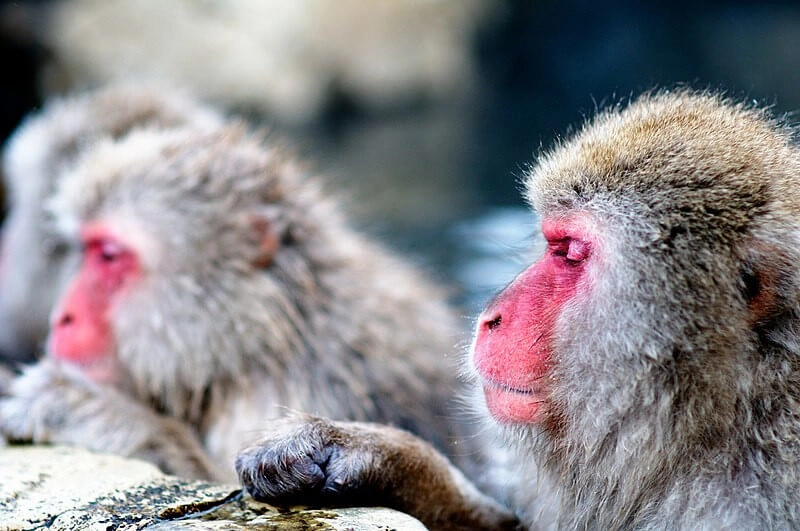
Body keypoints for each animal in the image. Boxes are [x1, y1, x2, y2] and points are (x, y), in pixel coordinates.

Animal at [0, 121, 464, 484]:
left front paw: (76, 408)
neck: (269, 334)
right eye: (87, 250)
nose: (62, 317)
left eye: (110, 255)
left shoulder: (296, 392)